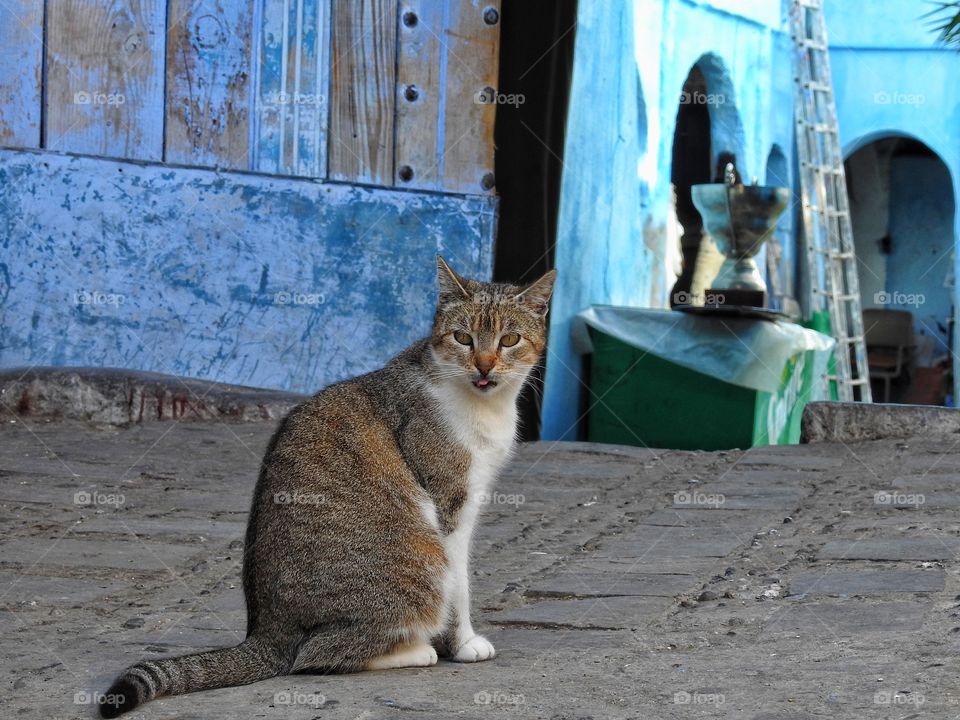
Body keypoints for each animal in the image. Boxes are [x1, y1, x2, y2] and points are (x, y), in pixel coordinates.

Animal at [99, 256, 556, 716]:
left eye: (509, 339)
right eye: (463, 338)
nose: (483, 366)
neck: (484, 406)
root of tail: (266, 633)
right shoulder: (450, 504)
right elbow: (460, 585)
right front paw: (462, 644)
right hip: (422, 556)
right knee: (317, 654)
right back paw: (415, 650)